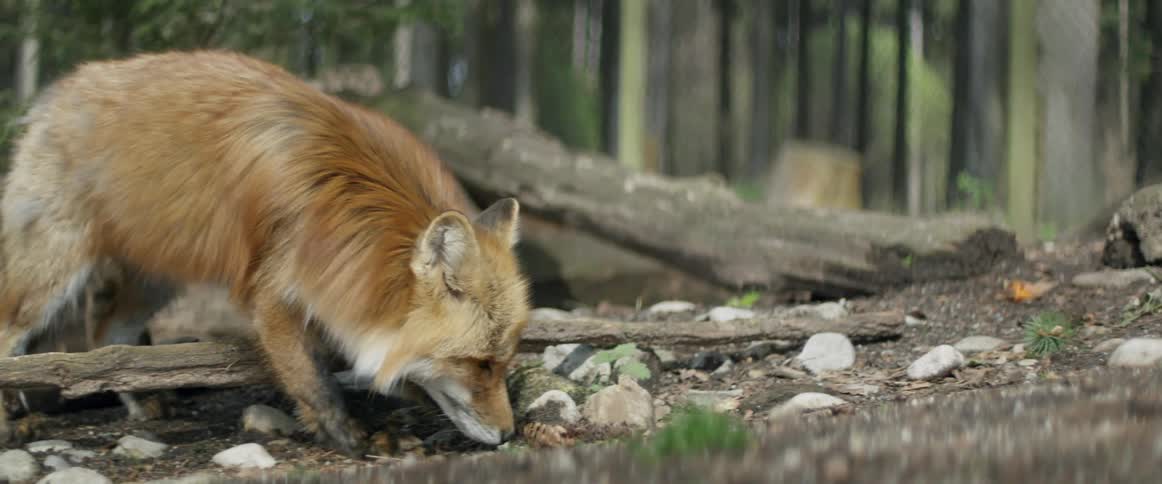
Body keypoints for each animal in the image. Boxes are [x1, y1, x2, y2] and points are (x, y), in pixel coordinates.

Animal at [0, 50, 531, 455]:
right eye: (479, 364)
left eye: (504, 362)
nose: (509, 434)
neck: (353, 203)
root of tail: (61, 87)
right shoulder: (275, 291)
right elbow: (312, 379)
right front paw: (347, 434)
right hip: (51, 269)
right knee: (15, 334)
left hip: (156, 274)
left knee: (108, 333)